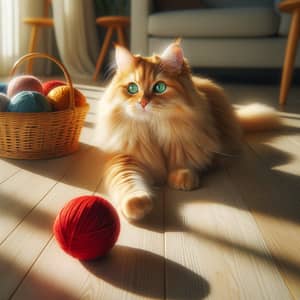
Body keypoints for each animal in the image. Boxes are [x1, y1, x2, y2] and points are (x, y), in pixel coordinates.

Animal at [96, 40, 278, 220]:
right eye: (132, 88)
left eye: (159, 87)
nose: (143, 103)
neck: (154, 128)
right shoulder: (125, 158)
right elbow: (129, 182)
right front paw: (137, 204)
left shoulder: (187, 143)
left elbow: (184, 161)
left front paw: (183, 178)